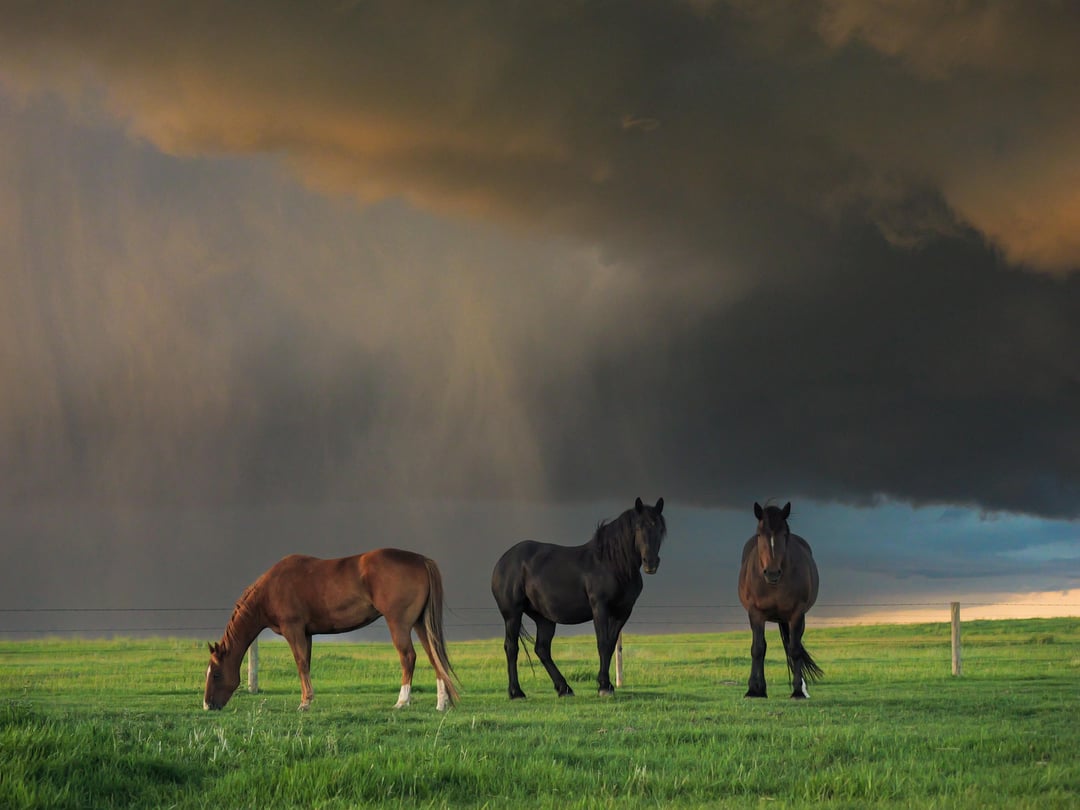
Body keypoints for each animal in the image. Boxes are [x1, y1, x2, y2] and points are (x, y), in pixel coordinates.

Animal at [203, 548, 459, 711]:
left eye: (216, 674)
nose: (207, 705)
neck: (272, 588)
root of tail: (421, 560)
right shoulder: (306, 634)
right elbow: (306, 663)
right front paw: (308, 699)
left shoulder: (293, 629)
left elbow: (300, 663)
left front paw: (305, 702)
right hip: (420, 624)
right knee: (435, 657)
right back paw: (441, 703)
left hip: (399, 623)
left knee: (408, 657)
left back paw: (402, 701)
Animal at [491, 496, 666, 699]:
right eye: (638, 527)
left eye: (660, 529)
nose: (651, 563)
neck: (612, 564)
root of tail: (503, 561)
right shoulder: (600, 608)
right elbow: (602, 643)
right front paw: (604, 686)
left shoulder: (623, 612)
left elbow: (610, 645)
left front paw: (607, 684)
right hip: (512, 614)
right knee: (512, 647)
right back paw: (516, 692)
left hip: (544, 618)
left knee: (542, 649)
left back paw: (564, 688)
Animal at [738, 501, 822, 699]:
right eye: (759, 534)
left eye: (784, 534)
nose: (772, 573)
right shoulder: (756, 614)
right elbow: (758, 648)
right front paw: (754, 690)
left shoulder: (796, 614)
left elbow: (795, 649)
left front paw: (798, 691)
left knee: (795, 644)